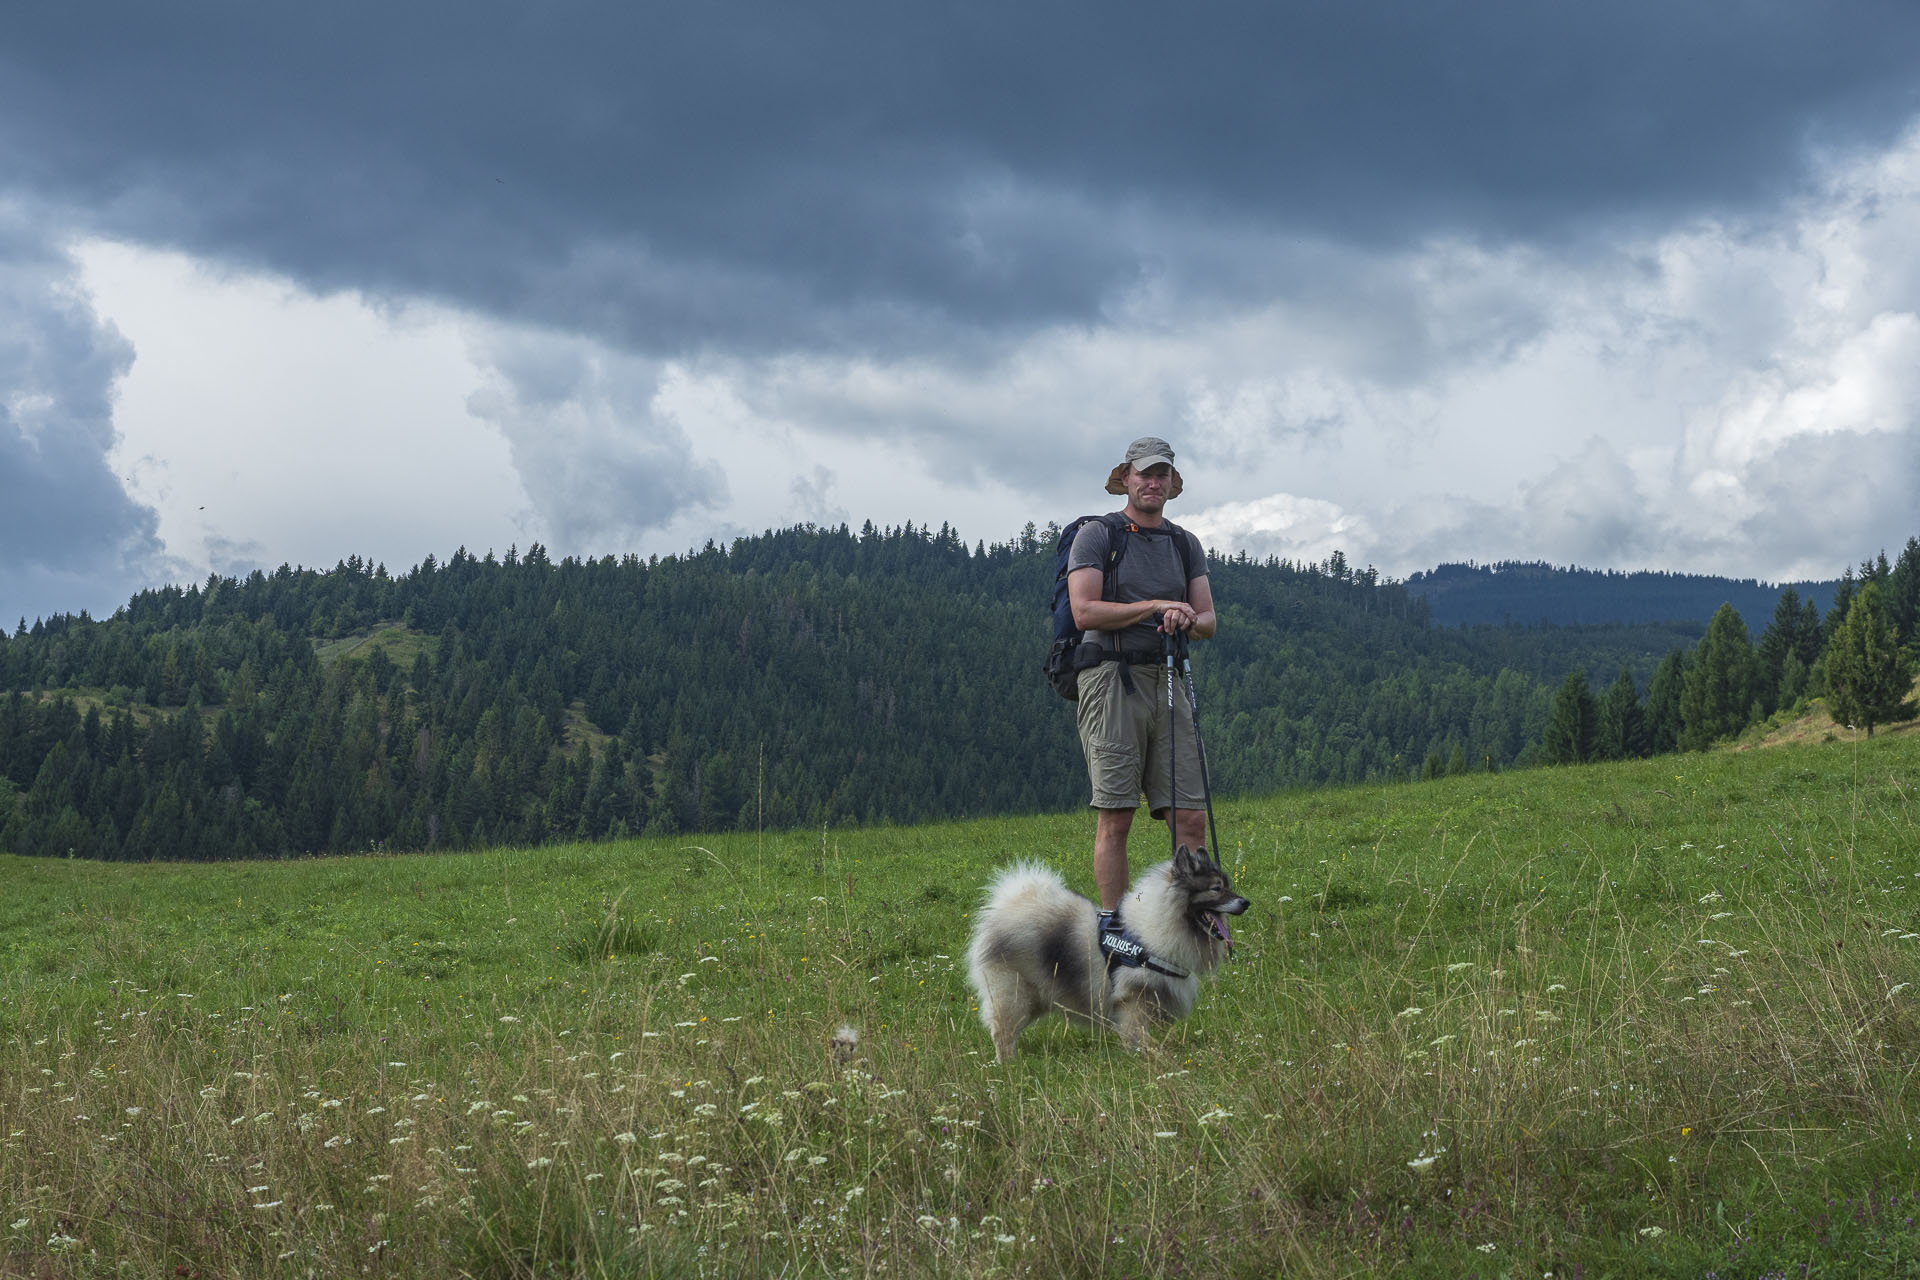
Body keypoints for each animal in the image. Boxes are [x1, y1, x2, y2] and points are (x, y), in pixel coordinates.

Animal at [967, 844, 1251, 1066]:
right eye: (1216, 889)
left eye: (1228, 886)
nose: (1246, 902)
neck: (1160, 924)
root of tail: (1007, 907)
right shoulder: (1133, 1000)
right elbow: (1136, 1034)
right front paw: (1145, 1057)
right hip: (1013, 993)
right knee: (1003, 1032)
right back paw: (1009, 1065)